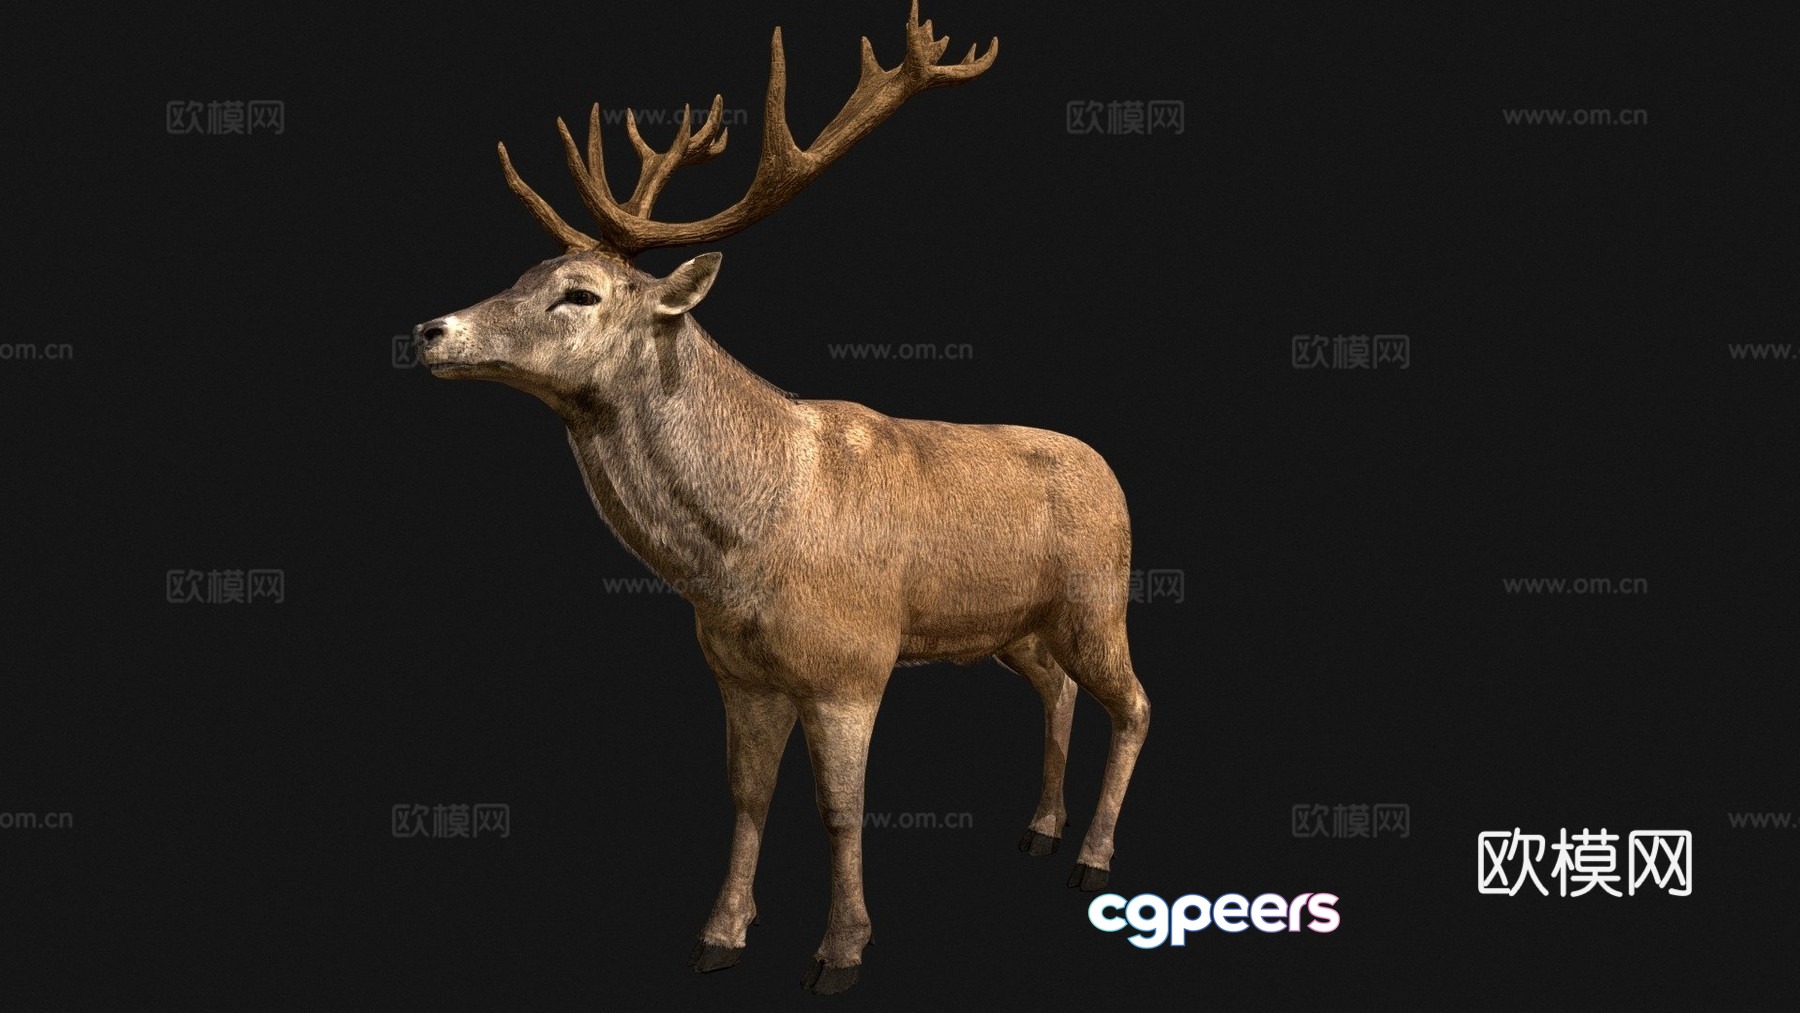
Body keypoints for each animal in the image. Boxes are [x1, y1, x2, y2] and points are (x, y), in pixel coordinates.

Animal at [413, 3, 1149, 995]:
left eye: (579, 293)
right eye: (522, 276)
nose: (430, 329)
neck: (739, 549)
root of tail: (1111, 471)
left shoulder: (851, 660)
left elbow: (840, 807)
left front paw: (841, 951)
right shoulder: (736, 669)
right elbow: (747, 794)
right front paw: (720, 934)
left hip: (1096, 597)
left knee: (1132, 701)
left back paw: (1094, 858)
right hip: (1017, 626)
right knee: (1059, 690)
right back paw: (1039, 829)